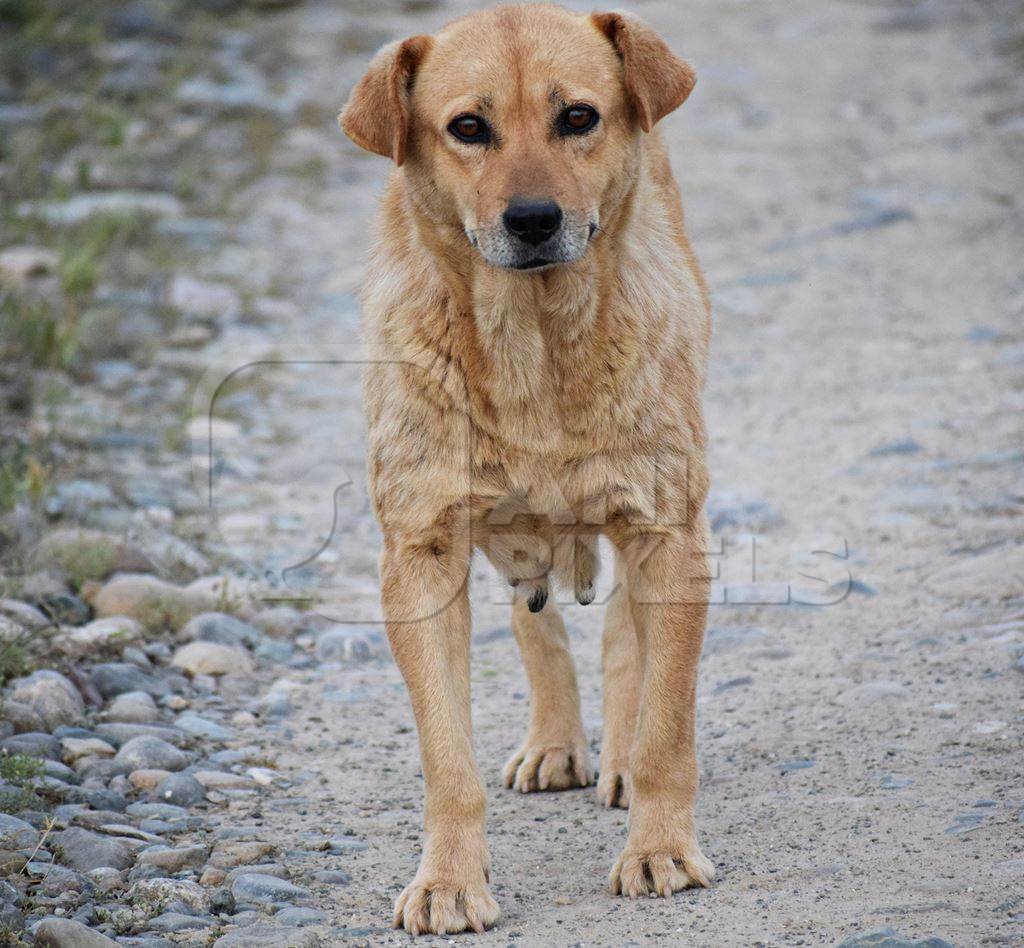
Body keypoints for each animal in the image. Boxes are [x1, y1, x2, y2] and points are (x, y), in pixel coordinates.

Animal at [339, 1, 716, 933]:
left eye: (577, 117)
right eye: (468, 128)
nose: (535, 219)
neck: (532, 344)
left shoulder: (669, 534)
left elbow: (668, 725)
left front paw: (660, 848)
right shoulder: (421, 555)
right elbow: (447, 758)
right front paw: (447, 881)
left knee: (625, 642)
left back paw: (613, 761)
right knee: (533, 620)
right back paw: (554, 742)